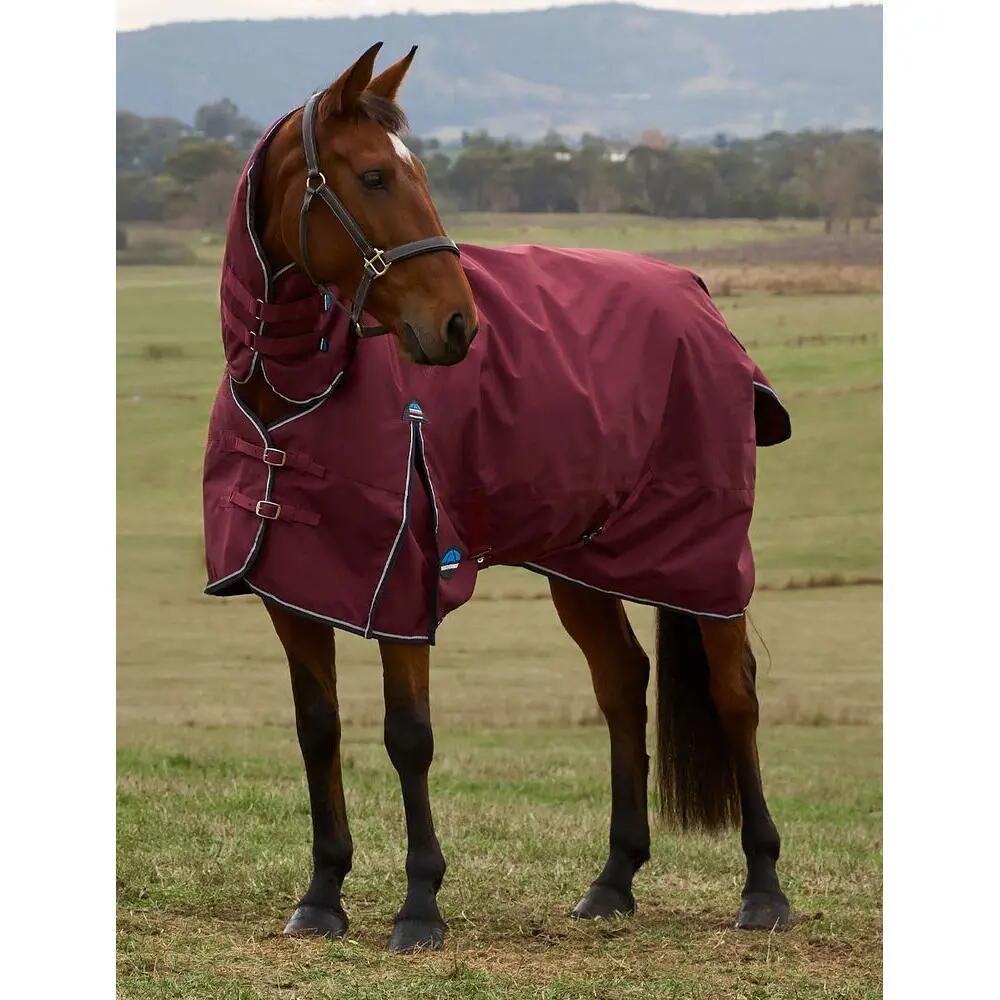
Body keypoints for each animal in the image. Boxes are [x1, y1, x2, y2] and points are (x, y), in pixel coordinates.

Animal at [203, 43, 791, 953]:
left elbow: (408, 737)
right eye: (374, 176)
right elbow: (317, 729)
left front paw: (419, 906)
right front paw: (323, 895)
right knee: (622, 683)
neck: (301, 386)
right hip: (582, 565)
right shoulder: (294, 589)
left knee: (736, 694)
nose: (458, 327)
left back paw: (762, 888)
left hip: (704, 558)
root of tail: (694, 292)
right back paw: (612, 881)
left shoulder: (402, 587)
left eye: (417, 172)